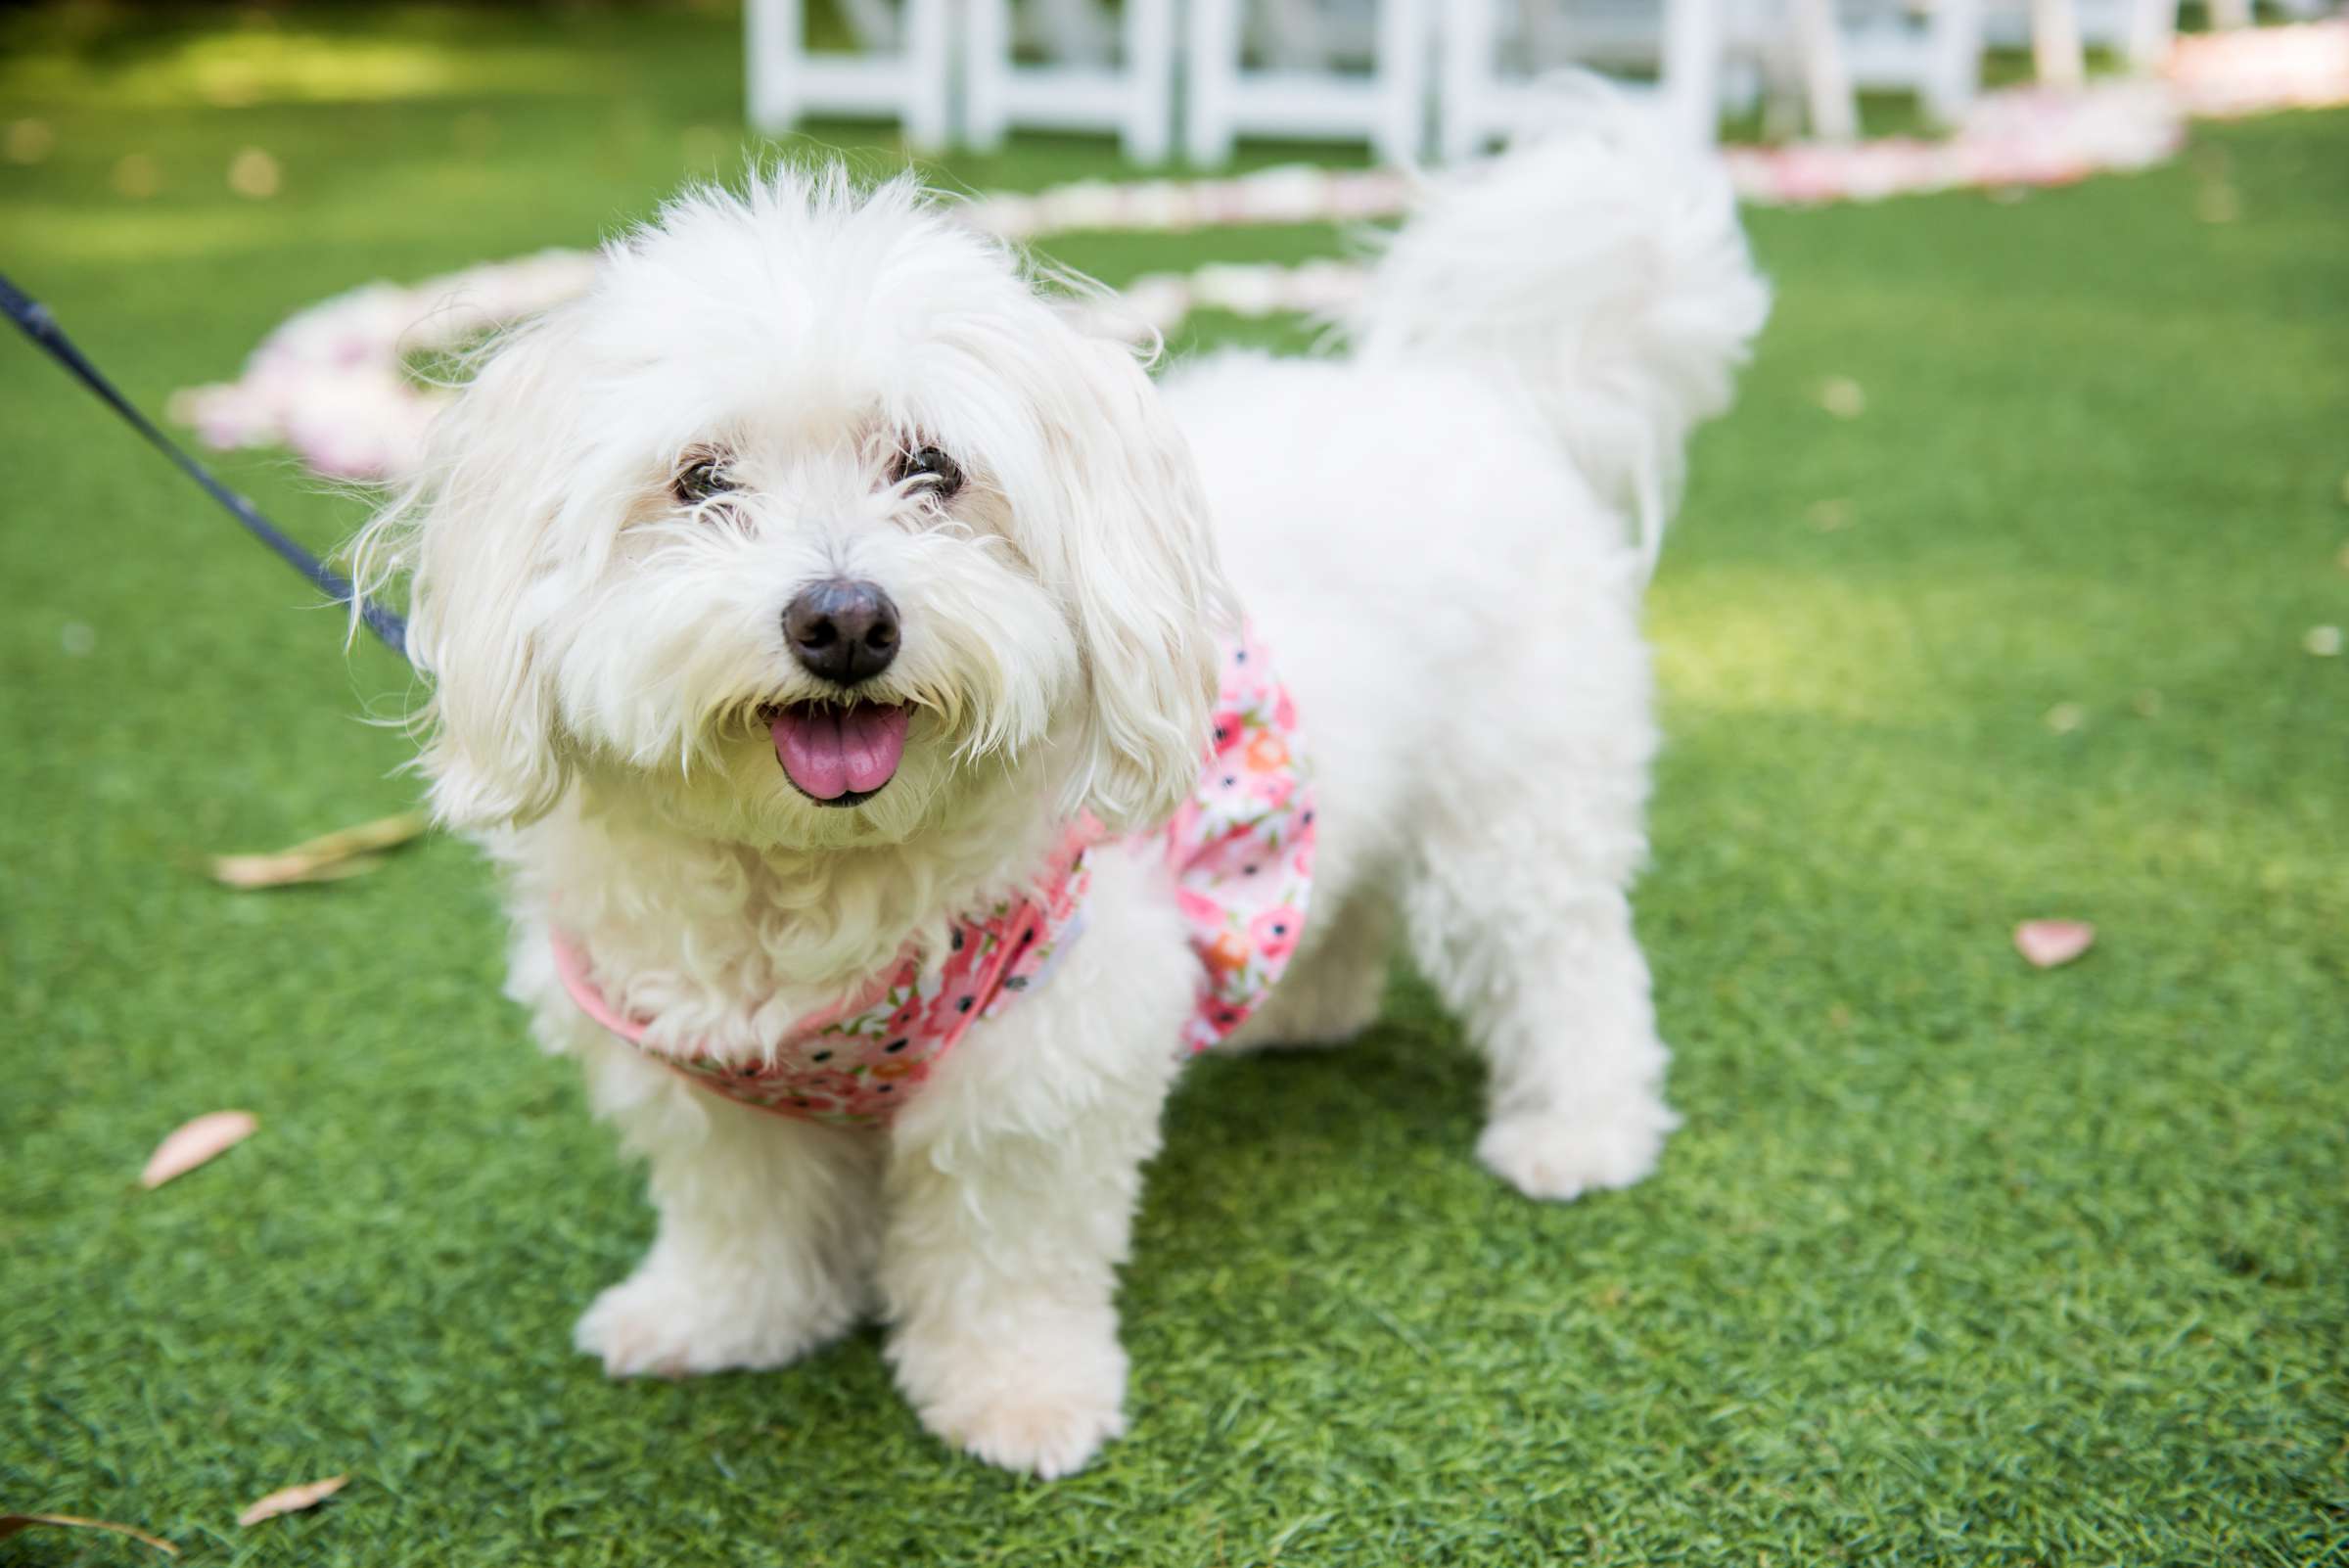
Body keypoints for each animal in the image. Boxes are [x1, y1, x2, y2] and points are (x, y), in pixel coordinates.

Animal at [352, 92, 1766, 1474]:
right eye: (701, 480)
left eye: (931, 468)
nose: (846, 619)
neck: (810, 883)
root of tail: (1472, 390)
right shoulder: (691, 1073)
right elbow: (739, 1212)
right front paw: (716, 1317)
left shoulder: (1044, 1051)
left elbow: (1005, 1254)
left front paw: (1017, 1398)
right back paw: (1306, 1010)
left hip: (1512, 807)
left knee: (1571, 966)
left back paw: (1580, 1132)